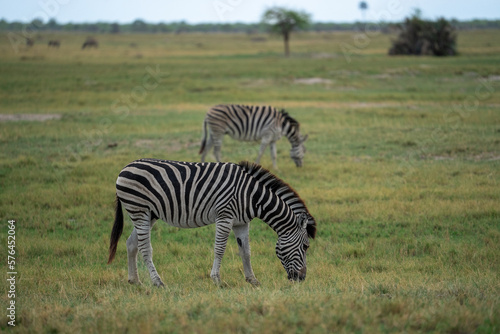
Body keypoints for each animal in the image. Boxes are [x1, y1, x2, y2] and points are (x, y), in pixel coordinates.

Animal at [108, 159, 316, 288]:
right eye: (306, 246)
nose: (302, 279)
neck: (252, 196)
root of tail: (125, 167)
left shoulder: (241, 223)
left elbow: (245, 251)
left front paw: (253, 280)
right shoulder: (225, 216)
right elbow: (220, 249)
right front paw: (217, 280)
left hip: (148, 214)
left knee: (131, 243)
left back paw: (135, 281)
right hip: (140, 210)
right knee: (145, 247)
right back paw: (158, 282)